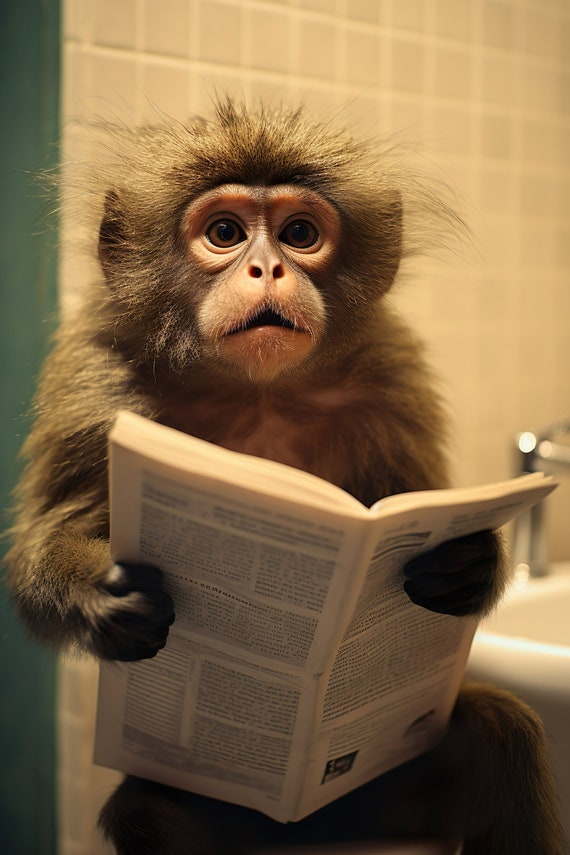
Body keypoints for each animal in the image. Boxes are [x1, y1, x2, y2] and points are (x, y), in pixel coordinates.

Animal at [4, 100, 565, 854]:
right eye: (225, 233)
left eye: (300, 234)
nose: (267, 267)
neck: (259, 392)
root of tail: (313, 824)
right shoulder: (94, 381)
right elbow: (44, 548)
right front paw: (98, 593)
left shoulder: (392, 381)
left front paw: (470, 560)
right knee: (149, 812)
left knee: (498, 733)